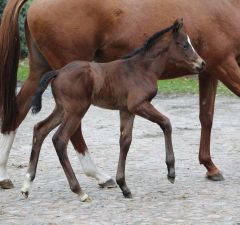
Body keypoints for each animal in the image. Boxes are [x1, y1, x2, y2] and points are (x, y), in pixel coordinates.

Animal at [21, 18, 205, 200]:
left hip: (62, 109)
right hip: (76, 110)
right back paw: (79, 191)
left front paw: (124, 186)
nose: (202, 64)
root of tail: (58, 72)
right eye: (185, 45)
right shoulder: (138, 105)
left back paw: (27, 184)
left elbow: (125, 141)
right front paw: (171, 172)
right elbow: (166, 123)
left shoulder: (127, 110)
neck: (142, 69)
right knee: (60, 139)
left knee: (40, 129)